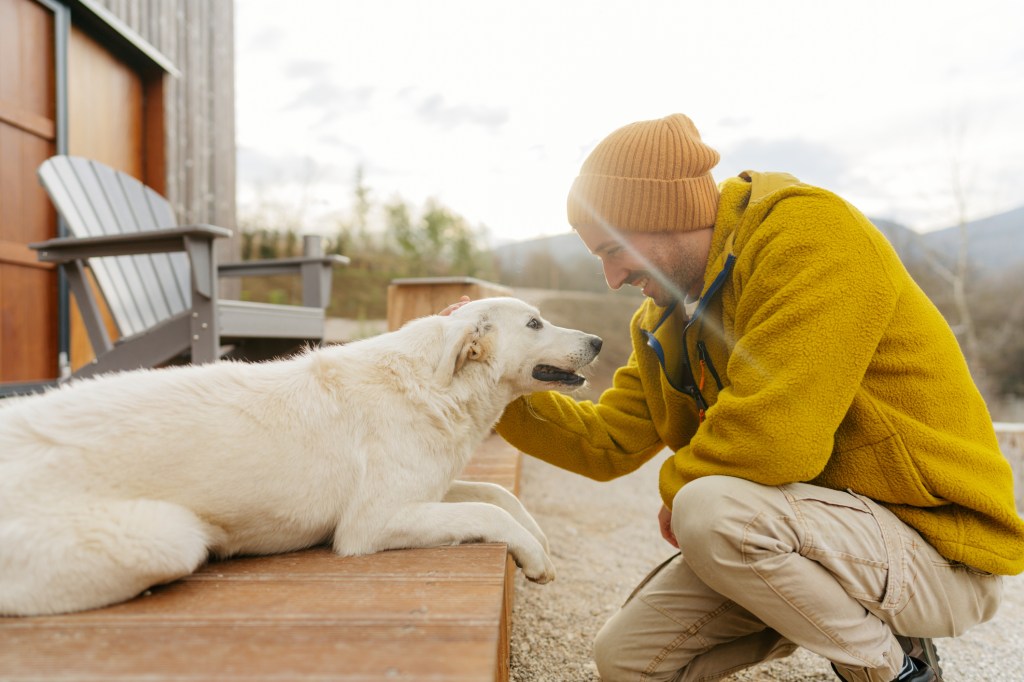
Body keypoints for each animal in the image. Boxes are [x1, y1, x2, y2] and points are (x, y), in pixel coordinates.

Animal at [0, 294, 602, 614]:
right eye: (535, 323)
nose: (598, 341)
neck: (435, 384)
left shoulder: (426, 490)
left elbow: (496, 493)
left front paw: (539, 540)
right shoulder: (371, 525)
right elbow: (487, 511)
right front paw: (534, 554)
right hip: (166, 538)